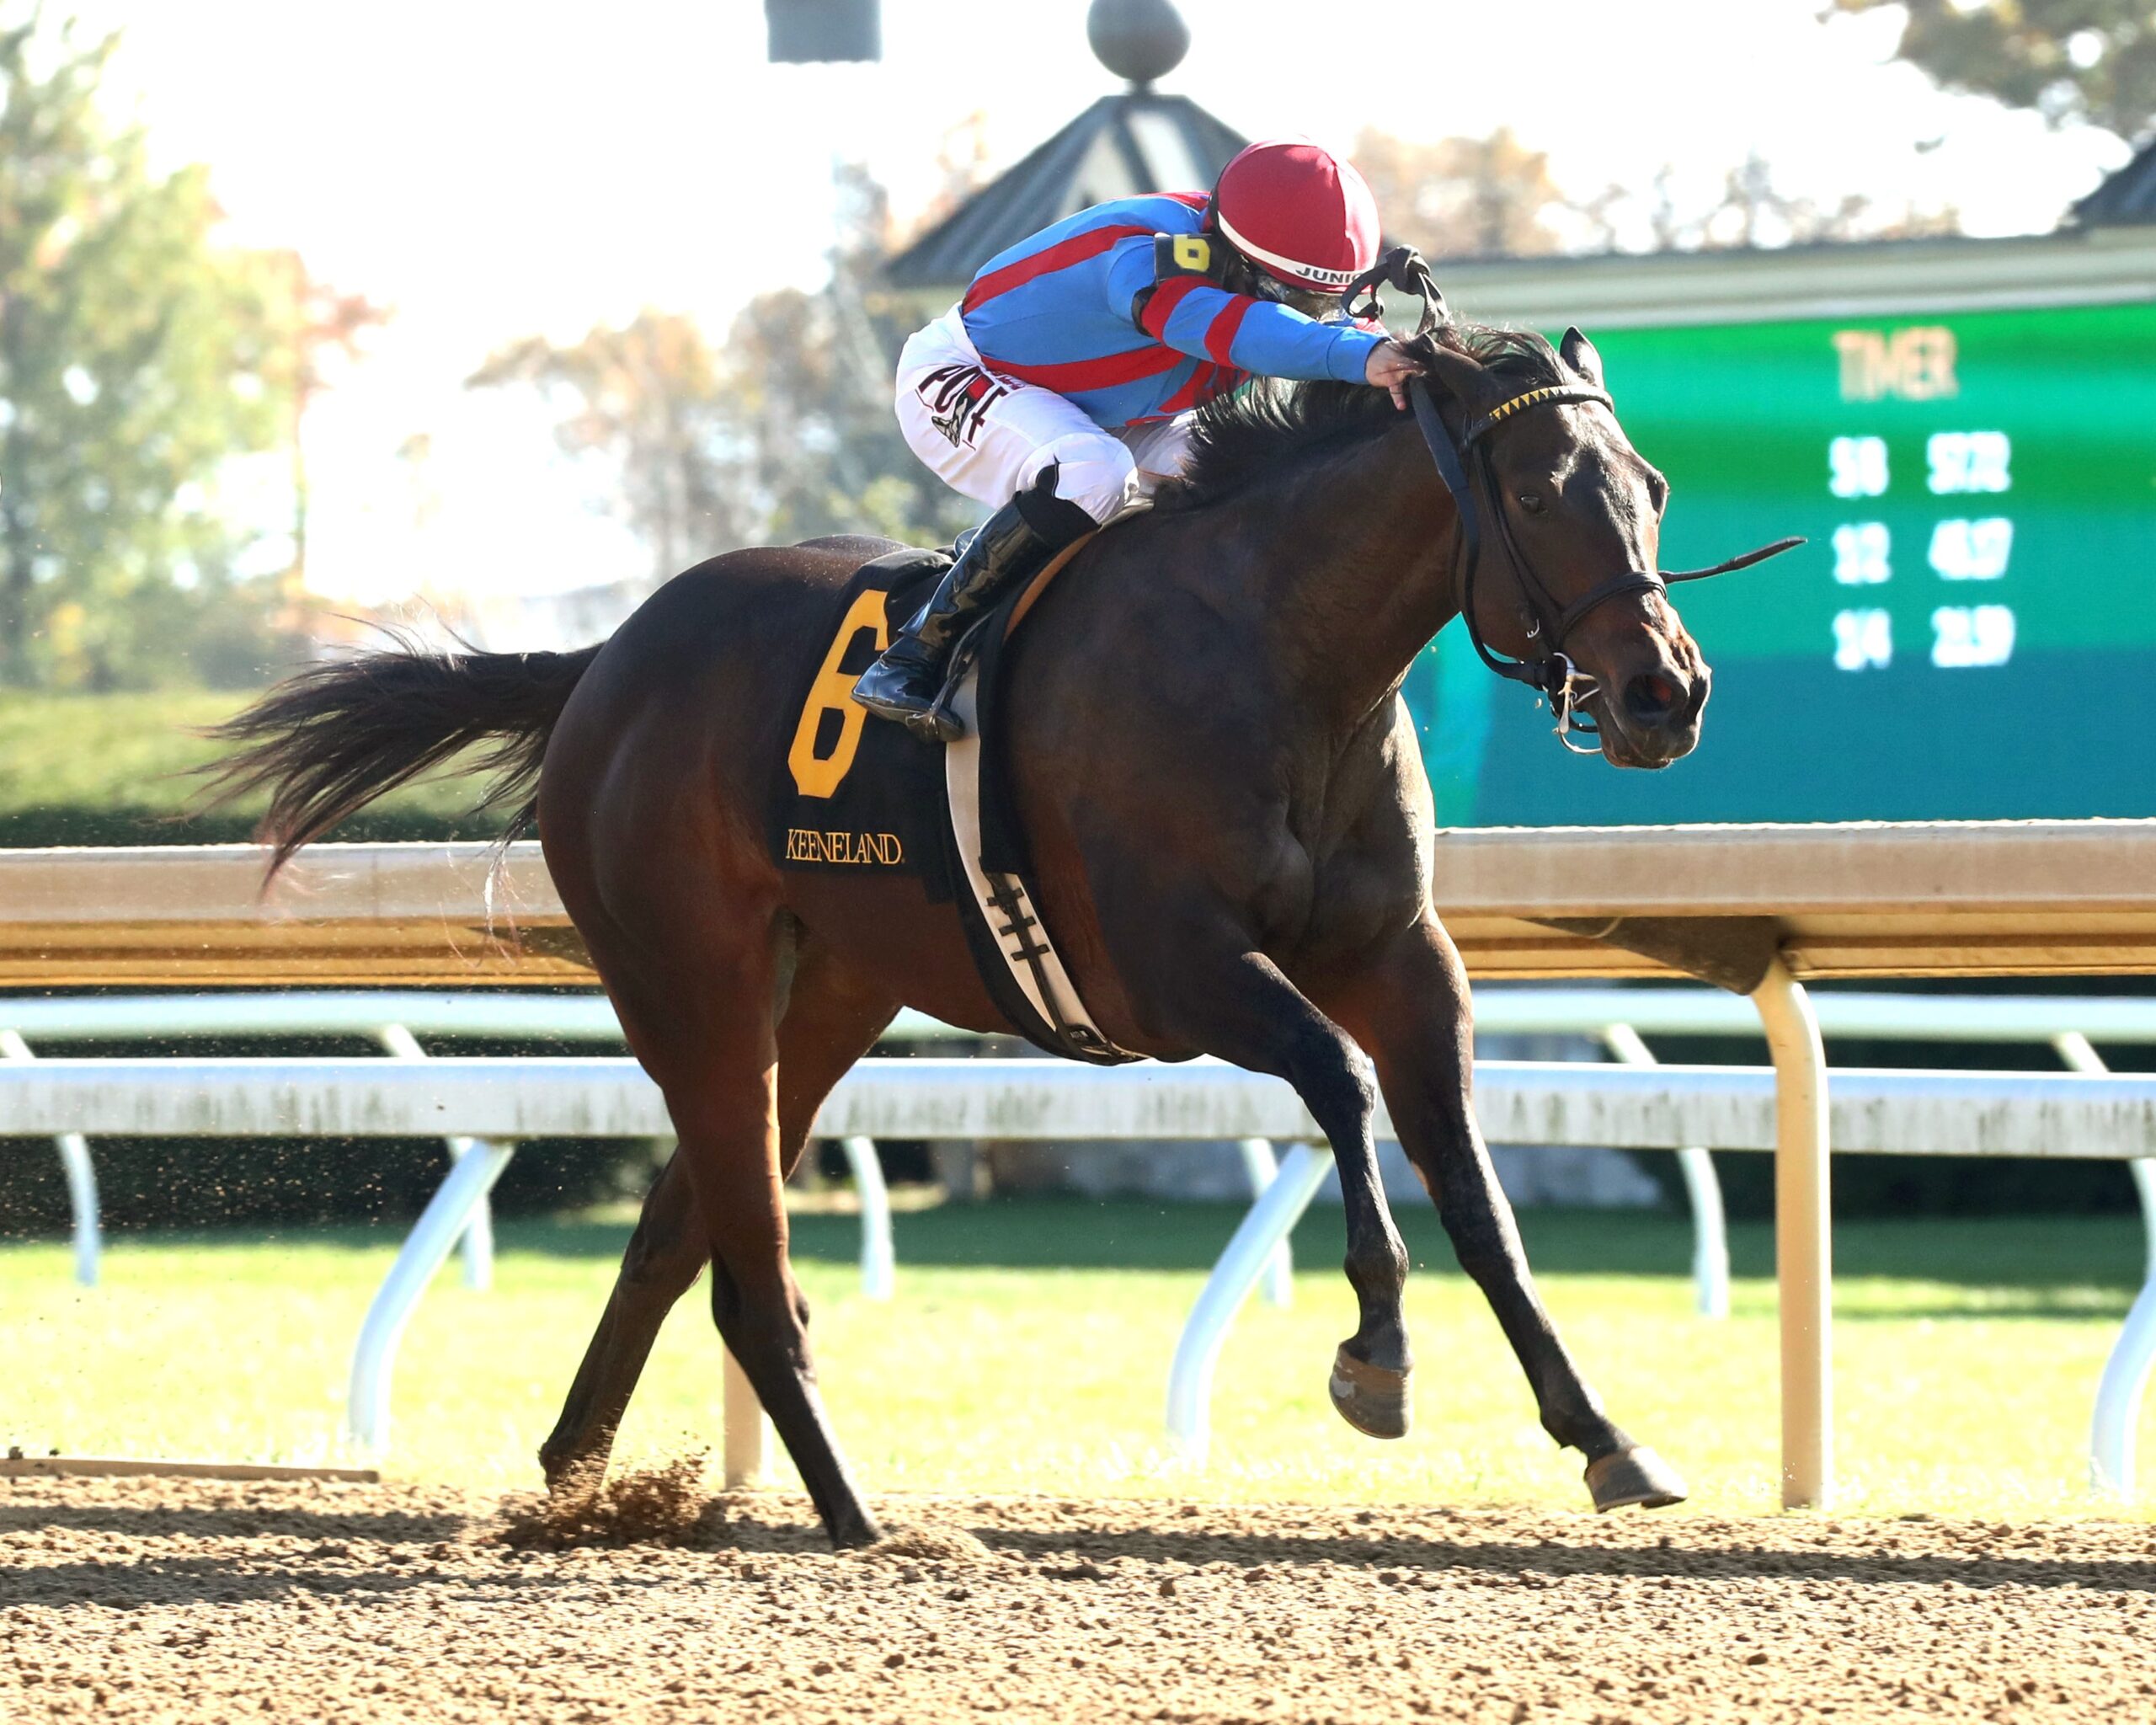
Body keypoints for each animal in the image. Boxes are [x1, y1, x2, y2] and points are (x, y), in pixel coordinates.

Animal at [212, 312, 1775, 1548]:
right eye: (1540, 490)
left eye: (1649, 485)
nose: (1668, 694)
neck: (1279, 655)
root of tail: (606, 659)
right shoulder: (1171, 969)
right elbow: (1337, 1084)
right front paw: (1376, 1357)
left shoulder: (1402, 957)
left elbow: (1476, 1188)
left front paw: (1608, 1438)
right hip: (689, 978)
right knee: (745, 1263)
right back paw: (855, 1517)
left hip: (828, 993)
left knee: (678, 1235)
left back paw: (577, 1486)